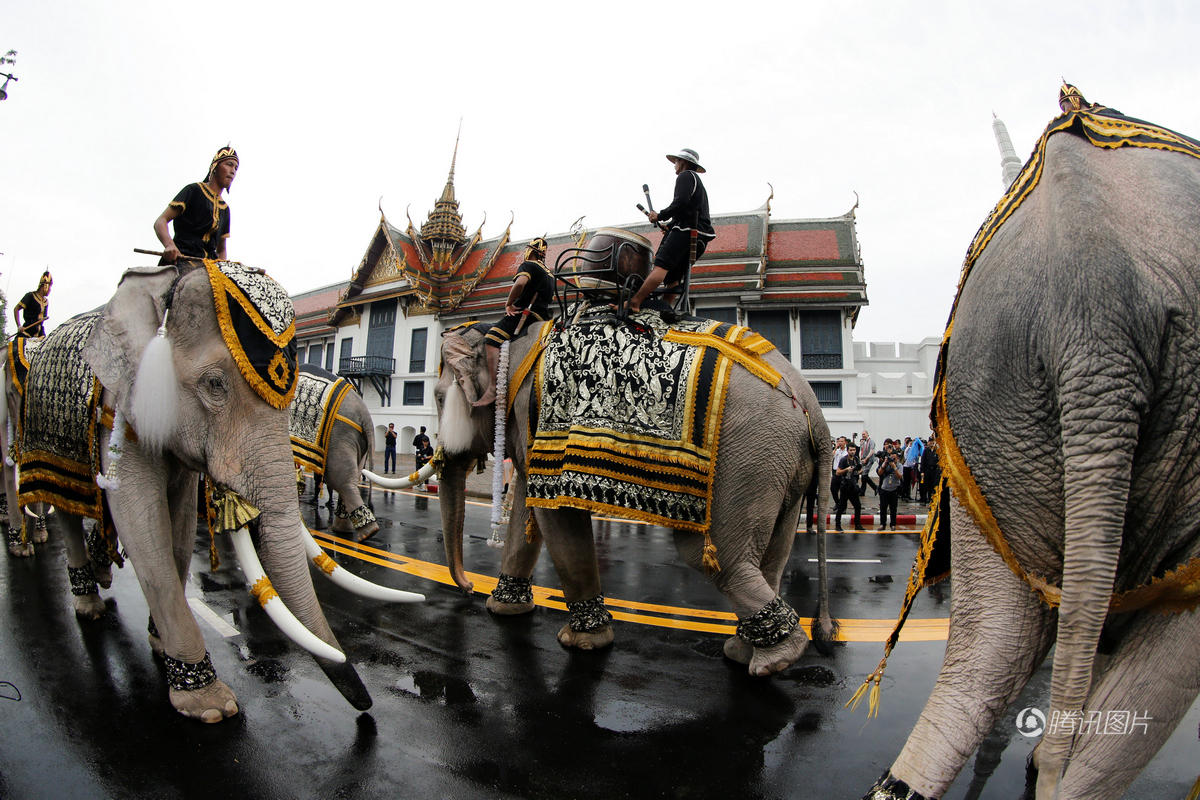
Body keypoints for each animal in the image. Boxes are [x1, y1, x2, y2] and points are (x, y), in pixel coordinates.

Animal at [291, 364, 379, 542]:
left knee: (340, 479)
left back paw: (367, 532)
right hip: (356, 442)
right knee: (351, 477)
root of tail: (365, 416)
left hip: (339, 437)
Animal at [429, 311, 835, 676]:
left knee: (714, 557)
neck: (508, 338)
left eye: (438, 398)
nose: (467, 588)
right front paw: (504, 609)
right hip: (781, 465)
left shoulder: (539, 417)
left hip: (746, 462)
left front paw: (582, 642)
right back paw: (744, 651)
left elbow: (556, 515)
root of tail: (809, 402)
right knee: (773, 554)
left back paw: (775, 659)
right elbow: (527, 515)